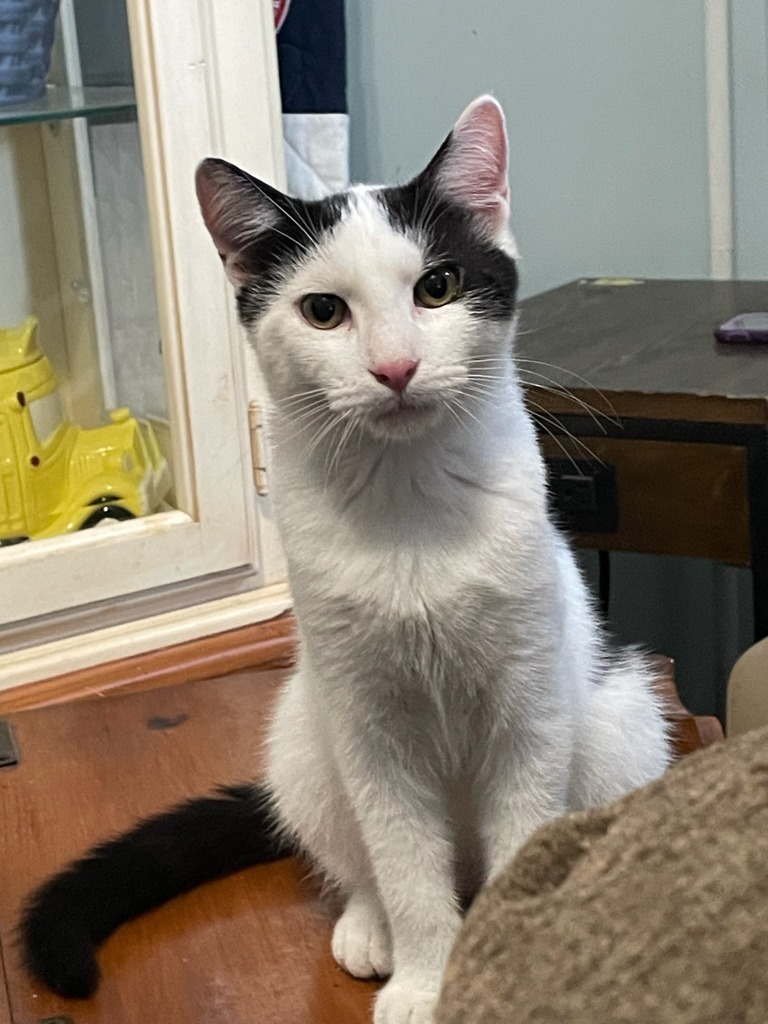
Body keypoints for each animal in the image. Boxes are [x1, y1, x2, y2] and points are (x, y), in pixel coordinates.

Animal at [20, 97, 671, 1024]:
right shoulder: (368, 725)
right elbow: (402, 862)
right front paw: (427, 977)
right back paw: (371, 927)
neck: (407, 510)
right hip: (304, 733)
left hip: (622, 722)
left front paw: (498, 970)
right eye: (323, 311)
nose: (395, 366)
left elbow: (523, 834)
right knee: (364, 862)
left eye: (438, 287)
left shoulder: (531, 709)